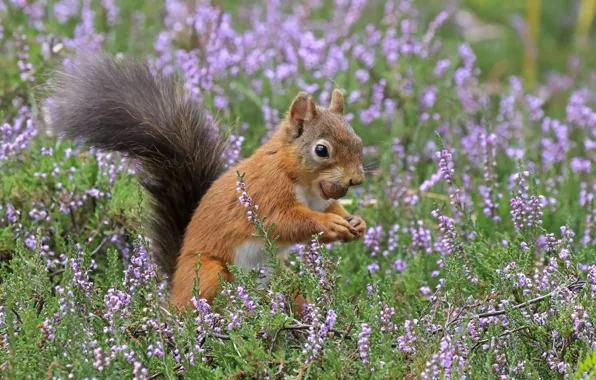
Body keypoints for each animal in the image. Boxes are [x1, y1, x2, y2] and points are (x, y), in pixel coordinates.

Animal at [44, 52, 366, 308]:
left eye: (359, 141)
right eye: (321, 150)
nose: (357, 180)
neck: (305, 184)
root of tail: (174, 288)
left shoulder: (321, 199)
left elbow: (332, 208)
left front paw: (355, 222)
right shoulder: (265, 193)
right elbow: (285, 221)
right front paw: (329, 225)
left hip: (284, 280)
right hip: (209, 274)